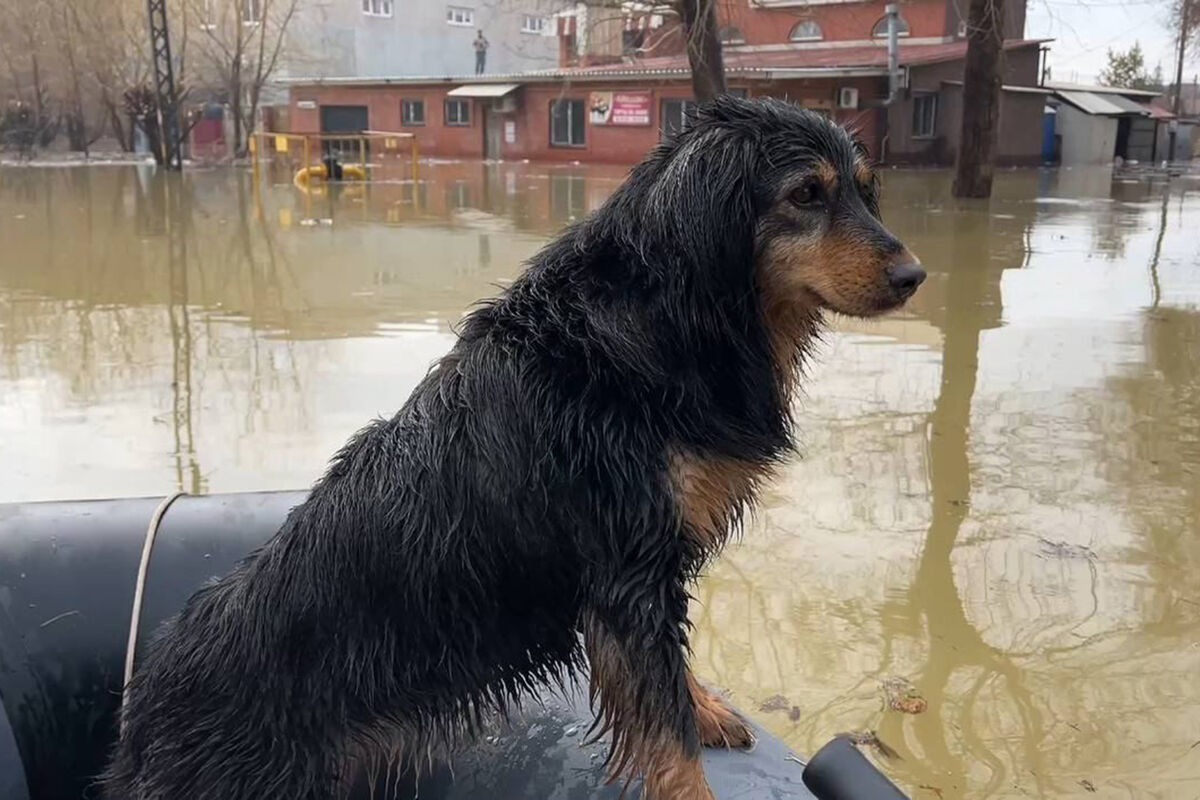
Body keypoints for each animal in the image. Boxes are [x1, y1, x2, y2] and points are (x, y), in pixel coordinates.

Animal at [105, 98, 926, 800]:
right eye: (806, 195)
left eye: (864, 192)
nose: (914, 275)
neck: (668, 319)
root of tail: (140, 721)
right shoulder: (627, 565)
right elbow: (662, 726)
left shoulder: (652, 564)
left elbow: (669, 675)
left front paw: (705, 706)